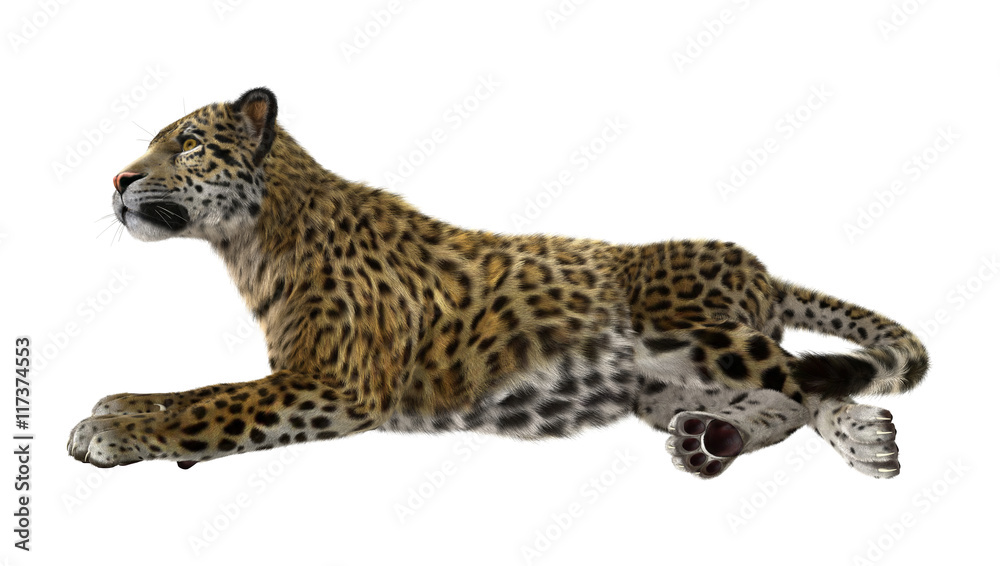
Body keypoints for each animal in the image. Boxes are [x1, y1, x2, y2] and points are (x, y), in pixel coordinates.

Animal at [68, 87, 929, 479]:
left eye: (186, 145)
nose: (116, 180)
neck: (252, 243)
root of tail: (758, 266)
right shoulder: (302, 371)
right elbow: (195, 389)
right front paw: (119, 406)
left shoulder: (339, 382)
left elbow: (217, 408)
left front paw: (114, 434)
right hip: (660, 386)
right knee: (784, 396)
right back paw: (714, 440)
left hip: (693, 332)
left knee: (808, 383)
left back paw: (866, 440)